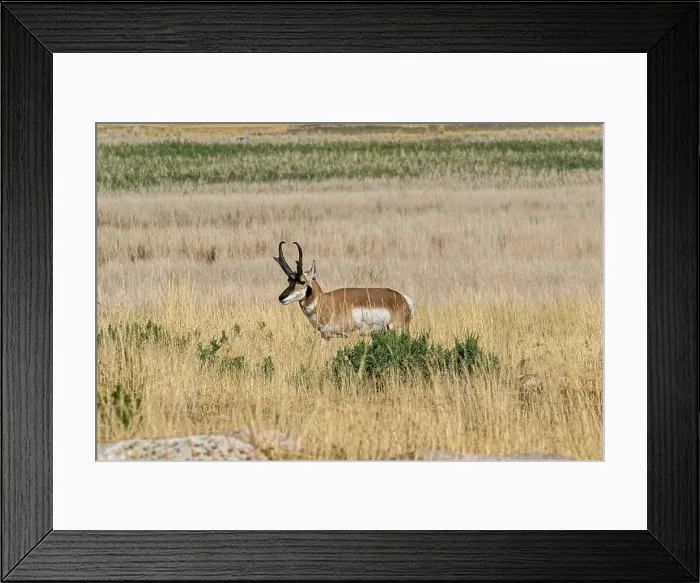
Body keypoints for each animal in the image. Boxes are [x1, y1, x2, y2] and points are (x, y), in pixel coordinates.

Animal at [273, 241, 415, 339]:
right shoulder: (325, 336)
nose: (281, 297)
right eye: (289, 280)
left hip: (399, 329)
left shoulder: (350, 335)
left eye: (302, 281)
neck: (325, 301)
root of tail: (403, 298)